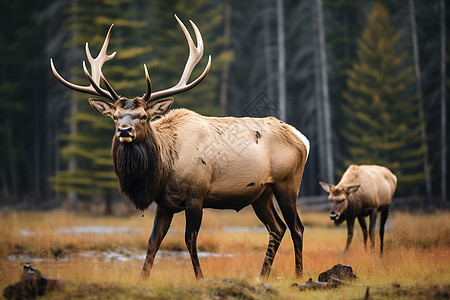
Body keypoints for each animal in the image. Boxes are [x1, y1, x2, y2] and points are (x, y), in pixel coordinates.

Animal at [50, 15, 310, 278]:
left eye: (144, 116)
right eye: (114, 116)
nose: (124, 131)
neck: (164, 168)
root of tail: (303, 138)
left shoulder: (196, 195)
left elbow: (190, 240)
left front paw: (200, 278)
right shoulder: (164, 203)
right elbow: (153, 242)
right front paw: (143, 279)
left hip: (287, 183)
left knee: (296, 227)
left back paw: (298, 274)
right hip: (260, 192)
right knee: (277, 228)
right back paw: (262, 275)